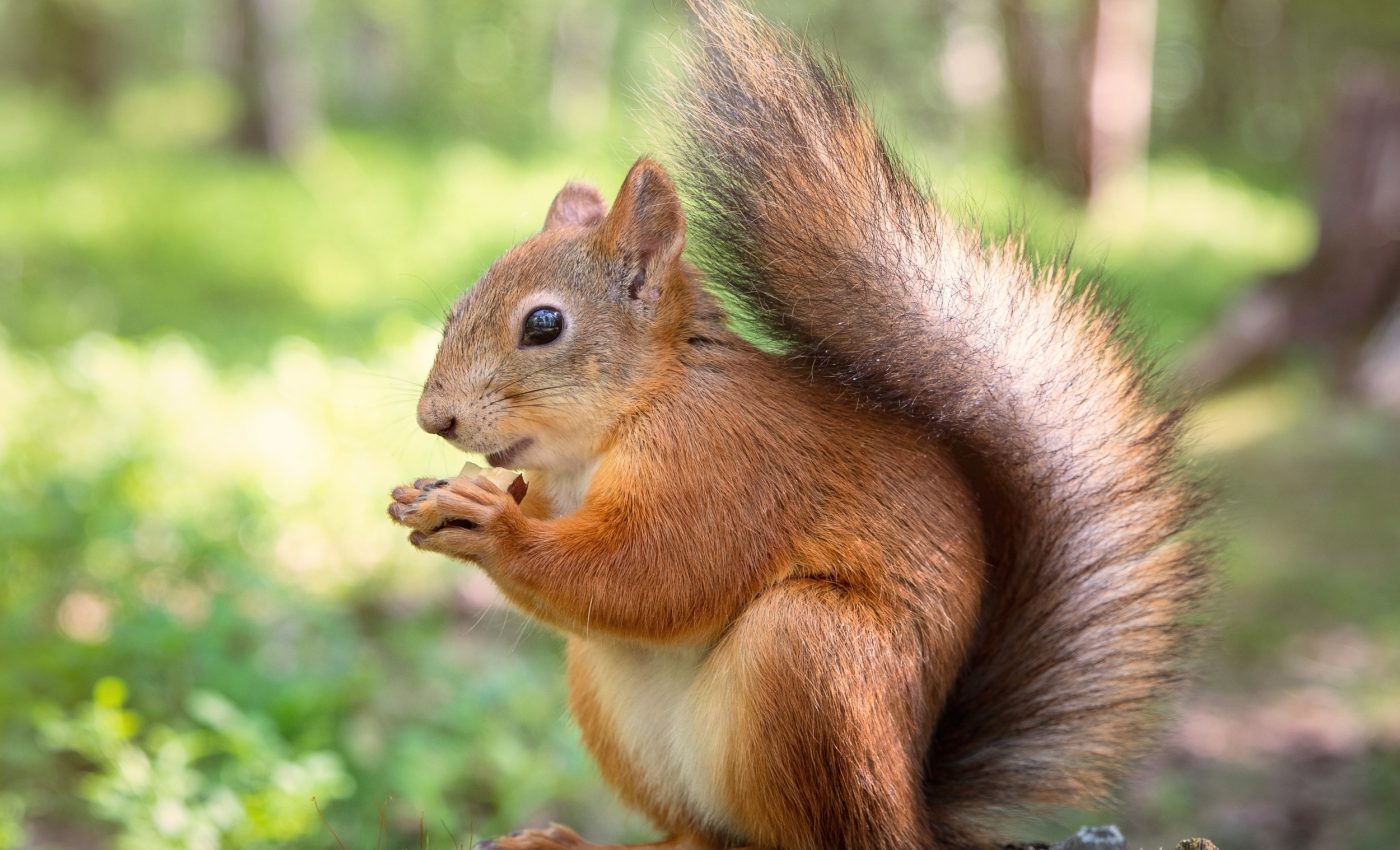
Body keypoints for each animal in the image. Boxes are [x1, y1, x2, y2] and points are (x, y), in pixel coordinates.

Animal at [387, 2, 1209, 849]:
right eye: (458, 307)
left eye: (543, 324)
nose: (433, 417)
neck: (630, 417)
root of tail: (914, 813)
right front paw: (431, 494)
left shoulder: (727, 463)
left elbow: (656, 571)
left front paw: (489, 525)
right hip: (610, 690)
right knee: (695, 833)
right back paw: (570, 840)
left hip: (811, 656)